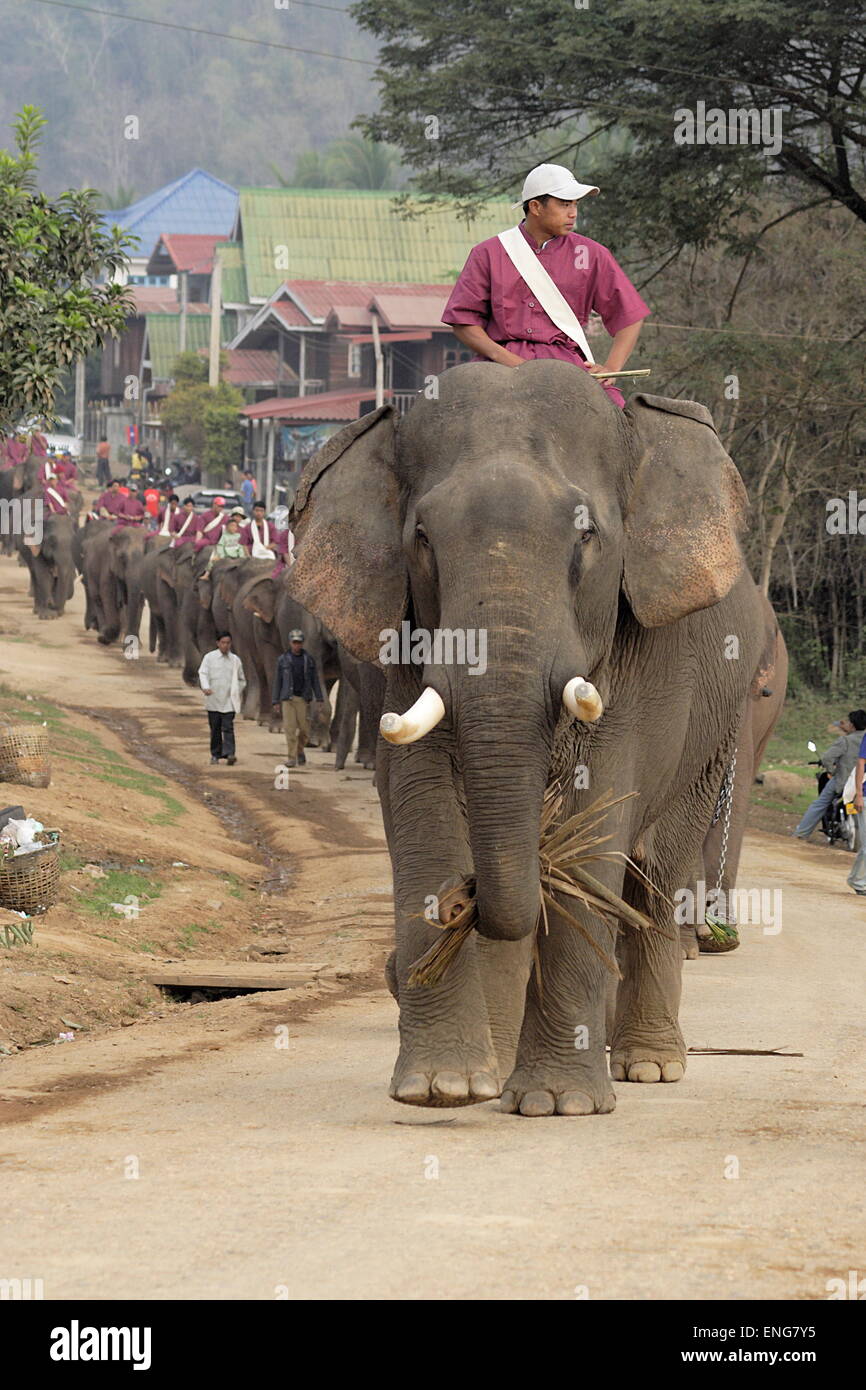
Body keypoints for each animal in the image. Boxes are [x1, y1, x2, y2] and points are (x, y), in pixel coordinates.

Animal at [289, 361, 772, 1117]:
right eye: (421, 537)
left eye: (587, 535)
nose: (464, 901)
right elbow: (421, 797)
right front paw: (443, 1088)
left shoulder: (640, 659)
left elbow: (597, 812)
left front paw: (556, 1103)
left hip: (721, 720)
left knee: (656, 876)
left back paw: (648, 1065)